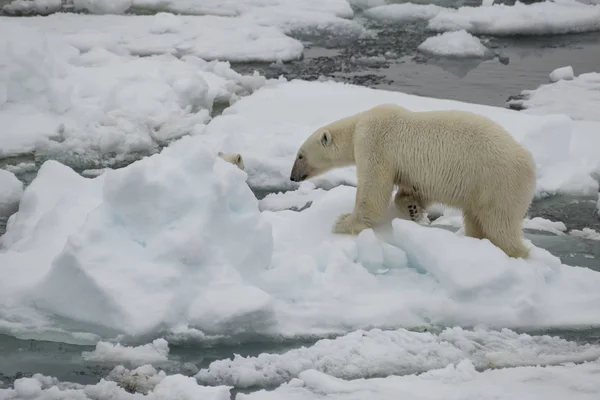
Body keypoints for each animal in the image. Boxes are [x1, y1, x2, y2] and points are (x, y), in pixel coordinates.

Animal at [288, 104, 536, 260]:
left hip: (497, 183)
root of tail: (529, 166)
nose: (292, 176)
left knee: (499, 224)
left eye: (300, 155)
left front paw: (343, 222)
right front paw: (413, 209)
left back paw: (517, 253)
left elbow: (373, 189)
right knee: (476, 219)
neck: (357, 125)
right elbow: (412, 190)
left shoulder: (374, 142)